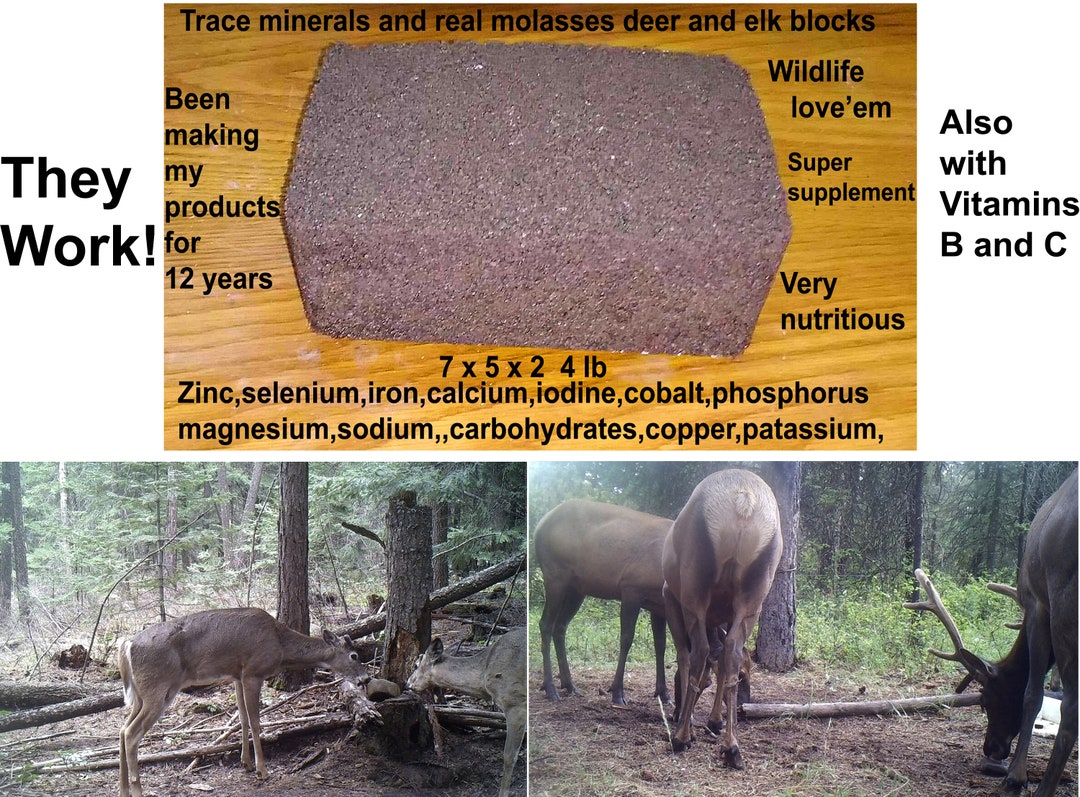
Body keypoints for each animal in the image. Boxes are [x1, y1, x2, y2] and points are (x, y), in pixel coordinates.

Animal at [118, 607, 363, 797]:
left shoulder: (237, 675)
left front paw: (246, 763)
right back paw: (137, 790)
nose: (365, 679)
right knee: (131, 733)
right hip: (158, 689)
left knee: (122, 730)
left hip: (141, 695)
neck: (281, 645)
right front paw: (262, 770)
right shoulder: (253, 672)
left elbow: (243, 718)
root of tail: (127, 645)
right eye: (354, 656)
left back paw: (123, 789)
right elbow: (255, 722)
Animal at [662, 469, 782, 769]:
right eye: (743, 678)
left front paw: (688, 721)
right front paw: (714, 721)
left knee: (699, 652)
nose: (743, 705)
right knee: (732, 651)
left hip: (694, 587)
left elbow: (686, 657)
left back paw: (681, 737)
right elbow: (721, 661)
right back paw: (732, 747)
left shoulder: (670, 595)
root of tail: (744, 501)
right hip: (754, 597)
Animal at [905, 469, 1077, 796]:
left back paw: (1043, 788)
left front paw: (1016, 776)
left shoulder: (1038, 605)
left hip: (1065, 603)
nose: (991, 748)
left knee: (1071, 705)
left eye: (984, 700)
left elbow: (1031, 693)